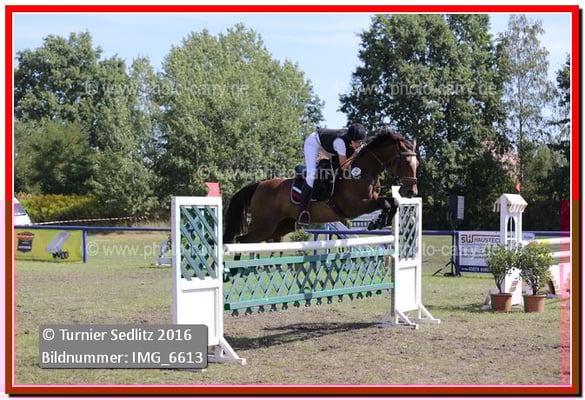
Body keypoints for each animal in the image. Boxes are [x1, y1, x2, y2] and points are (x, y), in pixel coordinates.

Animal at [223, 127, 419, 244]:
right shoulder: (355, 207)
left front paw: (379, 221)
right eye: (405, 162)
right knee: (242, 240)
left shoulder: (373, 198)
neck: (363, 171)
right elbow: (385, 203)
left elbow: (393, 202)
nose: (411, 191)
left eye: (417, 164)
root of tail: (259, 185)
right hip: (264, 225)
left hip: (280, 226)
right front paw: (377, 222)